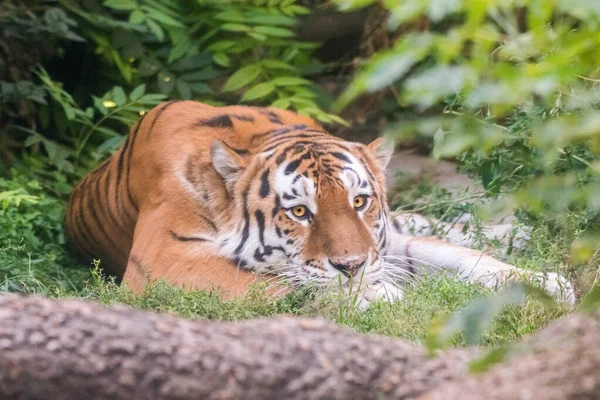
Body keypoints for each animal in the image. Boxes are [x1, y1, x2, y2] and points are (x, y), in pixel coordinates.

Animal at [65, 101, 576, 304]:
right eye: (299, 212)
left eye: (360, 201)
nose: (352, 266)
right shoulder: (162, 258)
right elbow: (268, 281)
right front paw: (376, 295)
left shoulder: (381, 245)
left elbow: (458, 258)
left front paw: (545, 283)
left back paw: (517, 231)